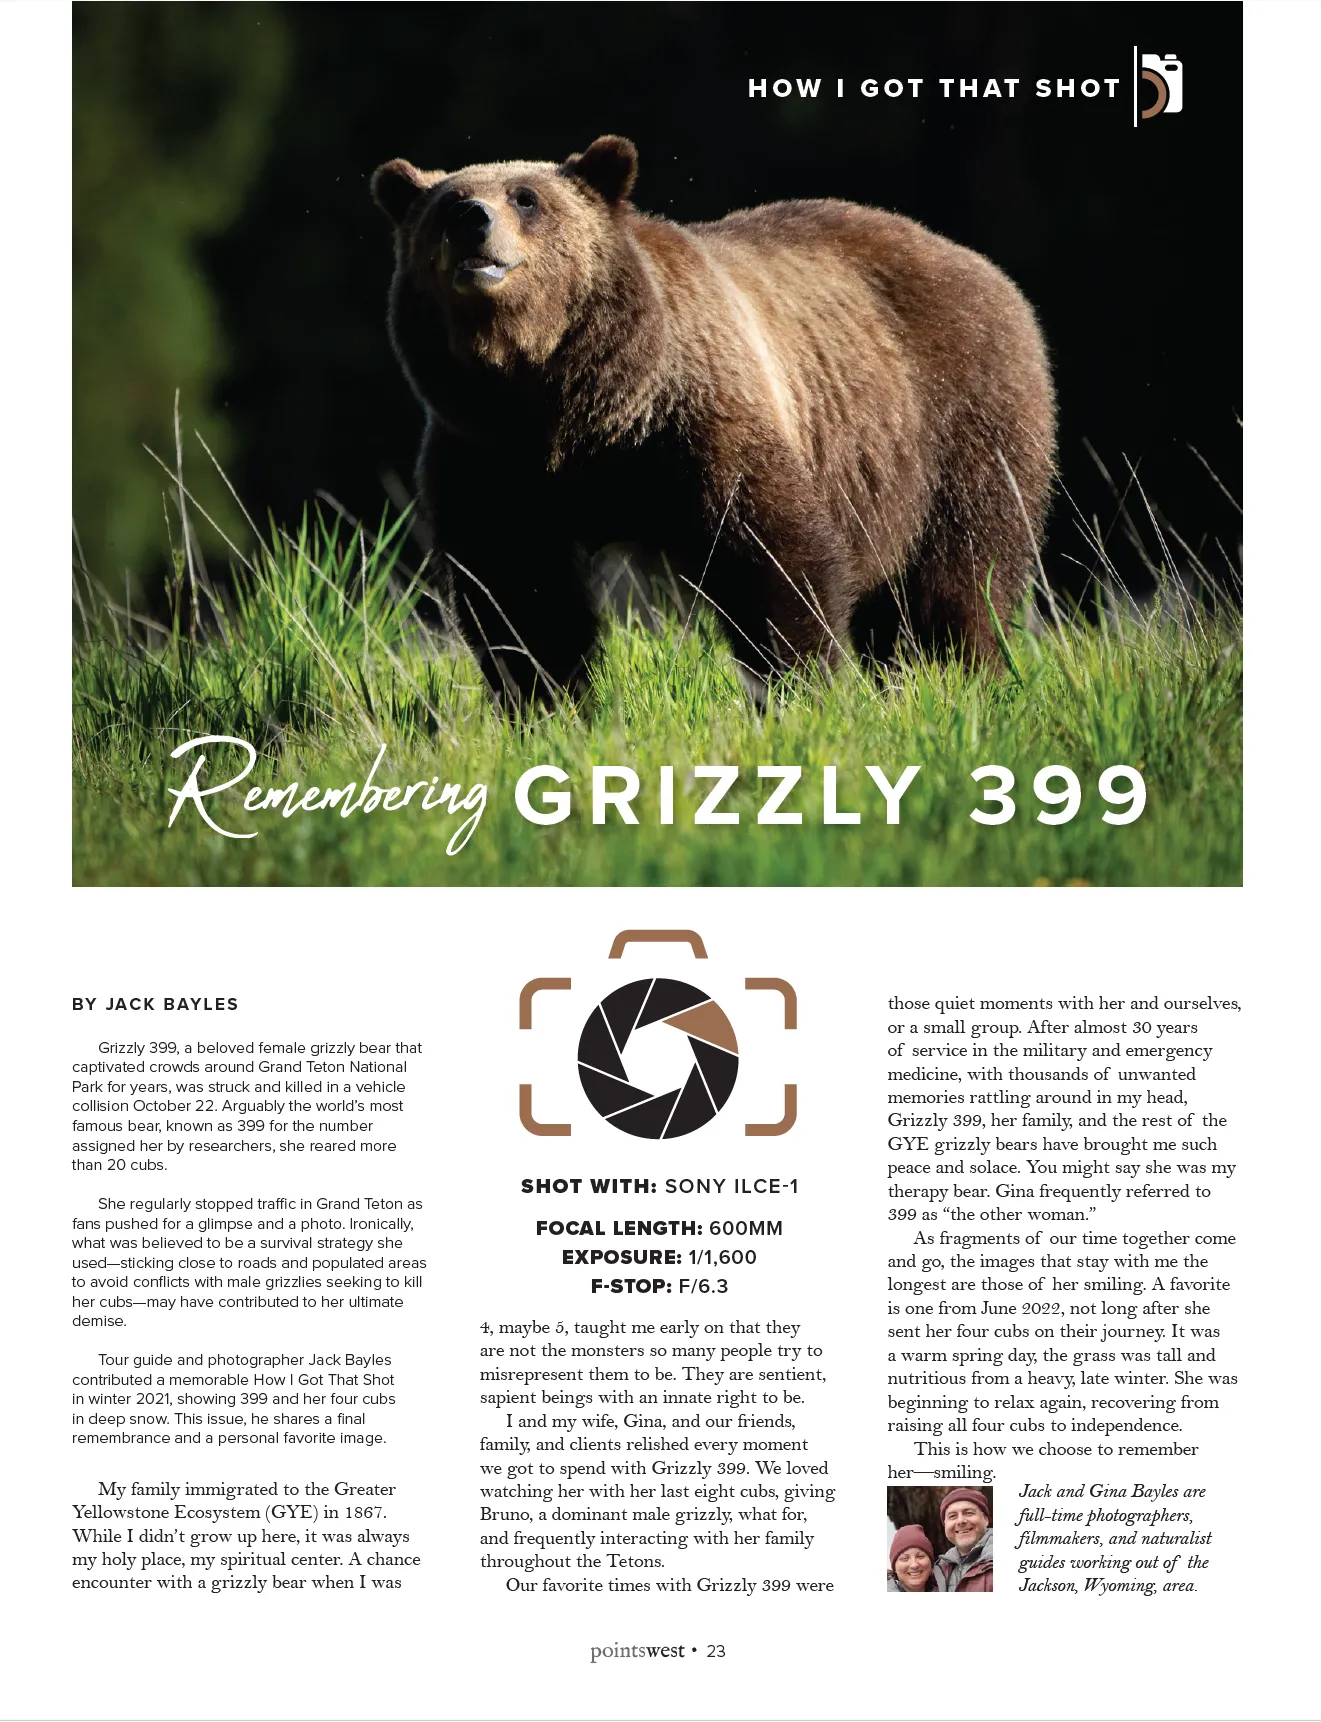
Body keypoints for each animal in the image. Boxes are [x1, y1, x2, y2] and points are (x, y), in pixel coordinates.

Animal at [371, 135, 1054, 711]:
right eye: (446, 203)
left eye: (526, 197)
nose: (473, 221)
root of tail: (977, 263)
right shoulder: (487, 455)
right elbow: (519, 593)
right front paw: (548, 702)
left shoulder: (694, 419)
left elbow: (773, 558)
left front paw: (796, 687)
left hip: (955, 418)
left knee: (958, 579)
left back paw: (961, 675)